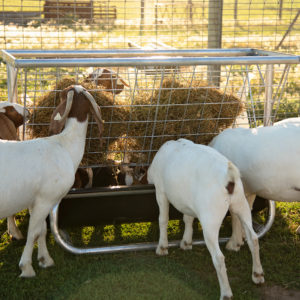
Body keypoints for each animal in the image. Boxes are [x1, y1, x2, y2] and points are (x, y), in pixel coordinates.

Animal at [0, 85, 103, 278]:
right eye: (64, 93)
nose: (27, 112)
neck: (65, 145)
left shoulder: (38, 200)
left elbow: (42, 230)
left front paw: (45, 260)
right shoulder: (45, 199)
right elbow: (33, 232)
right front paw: (27, 267)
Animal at [148, 139, 264, 300]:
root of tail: (229, 177)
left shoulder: (161, 191)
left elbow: (163, 219)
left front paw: (162, 247)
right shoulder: (189, 203)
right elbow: (188, 218)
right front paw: (186, 242)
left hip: (211, 219)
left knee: (218, 257)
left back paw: (226, 293)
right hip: (241, 204)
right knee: (253, 239)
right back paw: (257, 275)